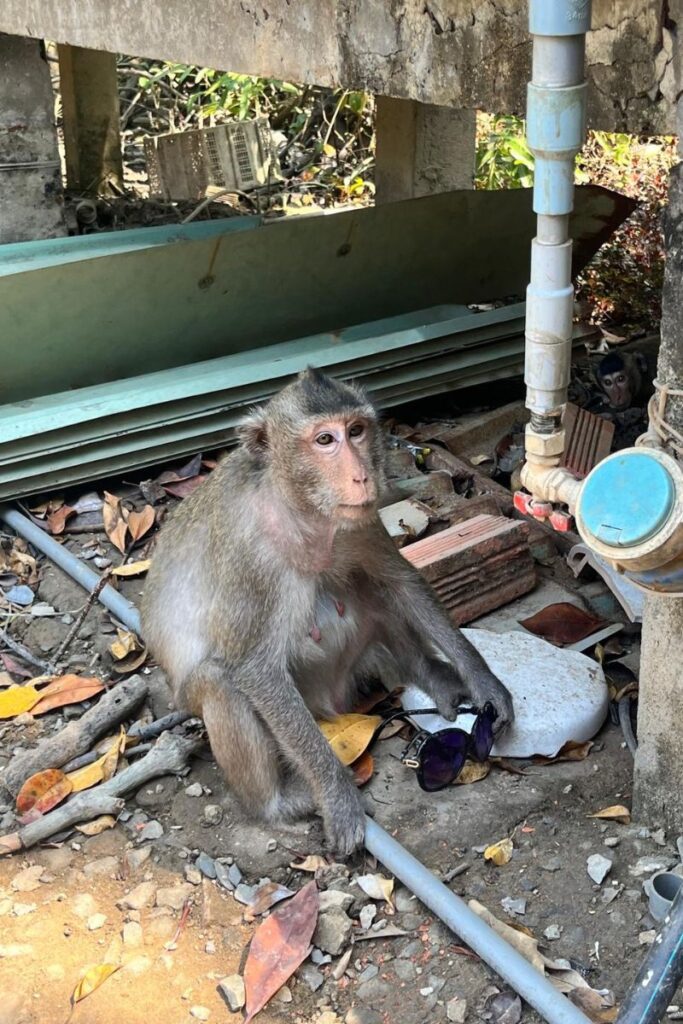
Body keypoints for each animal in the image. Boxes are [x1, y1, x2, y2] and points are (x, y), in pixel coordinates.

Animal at [141, 369, 514, 857]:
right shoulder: (248, 554)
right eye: (324, 440)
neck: (300, 508)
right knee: (219, 681)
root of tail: (334, 701)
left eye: (356, 431)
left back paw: (432, 675)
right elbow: (254, 669)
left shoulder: (359, 520)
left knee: (369, 589)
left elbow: (402, 581)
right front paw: (338, 797)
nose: (362, 476)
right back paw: (278, 804)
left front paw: (485, 682)